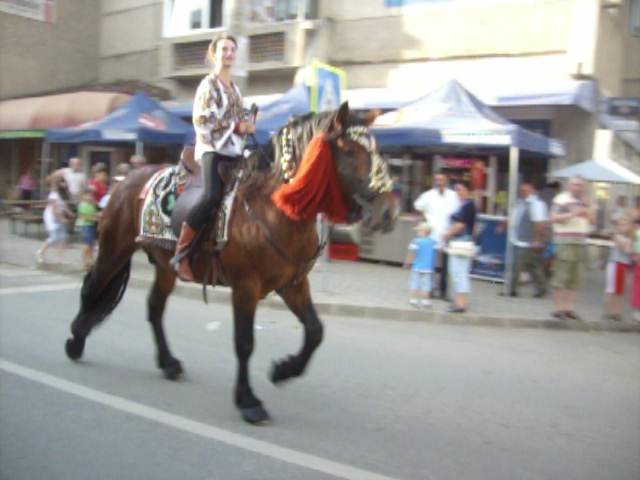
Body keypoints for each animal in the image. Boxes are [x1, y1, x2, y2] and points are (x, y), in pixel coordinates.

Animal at [65, 102, 396, 424]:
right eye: (350, 151)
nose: (389, 212)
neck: (275, 208)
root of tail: (123, 180)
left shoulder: (293, 283)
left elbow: (315, 331)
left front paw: (283, 370)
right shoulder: (246, 286)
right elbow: (245, 342)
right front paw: (248, 401)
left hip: (165, 266)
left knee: (154, 307)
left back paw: (168, 363)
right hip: (115, 249)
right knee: (93, 287)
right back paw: (76, 341)